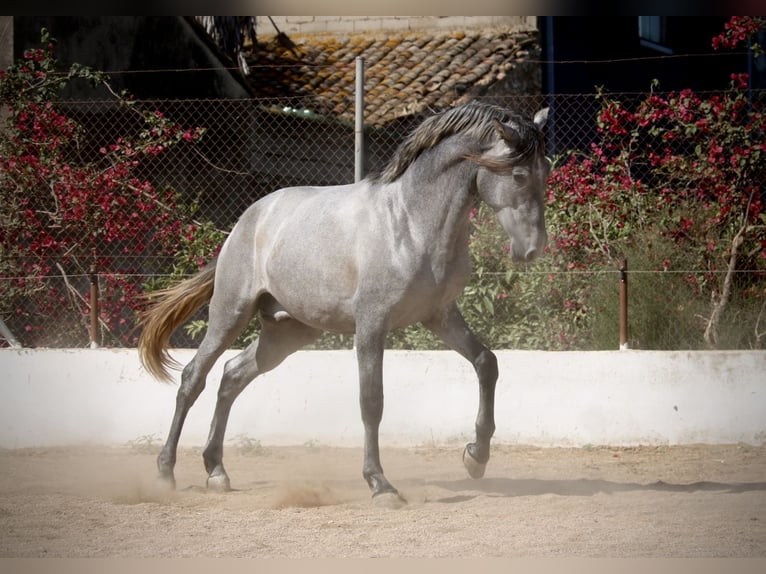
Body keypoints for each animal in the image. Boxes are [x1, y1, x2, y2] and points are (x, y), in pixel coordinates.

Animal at [138, 101, 550, 507]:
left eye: (545, 170)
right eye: (517, 175)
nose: (533, 250)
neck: (410, 223)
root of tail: (246, 221)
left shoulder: (440, 315)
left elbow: (486, 362)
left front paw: (475, 457)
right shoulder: (371, 324)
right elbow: (371, 400)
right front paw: (380, 484)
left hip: (286, 333)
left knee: (232, 375)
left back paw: (217, 472)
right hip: (230, 314)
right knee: (194, 377)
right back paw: (165, 472)